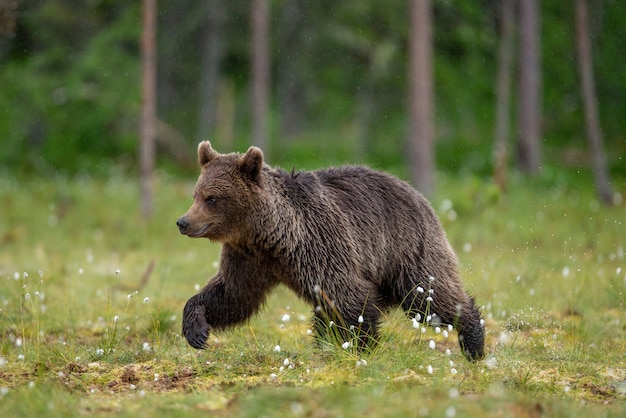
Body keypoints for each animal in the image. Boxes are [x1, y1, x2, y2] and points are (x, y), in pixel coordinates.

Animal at [176, 142, 482, 360]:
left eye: (211, 198)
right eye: (195, 194)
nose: (183, 222)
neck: (270, 235)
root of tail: (419, 195)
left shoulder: (320, 245)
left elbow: (348, 296)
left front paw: (360, 345)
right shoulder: (248, 258)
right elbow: (232, 295)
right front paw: (196, 331)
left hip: (406, 248)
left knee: (428, 297)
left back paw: (474, 340)